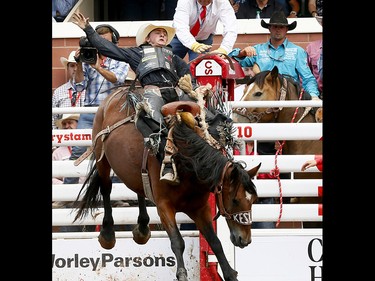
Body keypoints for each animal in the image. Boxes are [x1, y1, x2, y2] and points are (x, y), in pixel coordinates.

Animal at [72, 86, 262, 280]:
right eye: (235, 200)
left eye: (254, 200)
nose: (245, 239)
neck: (188, 165)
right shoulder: (164, 207)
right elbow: (177, 241)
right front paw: (182, 274)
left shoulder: (200, 209)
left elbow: (214, 242)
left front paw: (230, 274)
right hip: (101, 157)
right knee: (106, 188)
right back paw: (108, 234)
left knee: (139, 189)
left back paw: (142, 229)